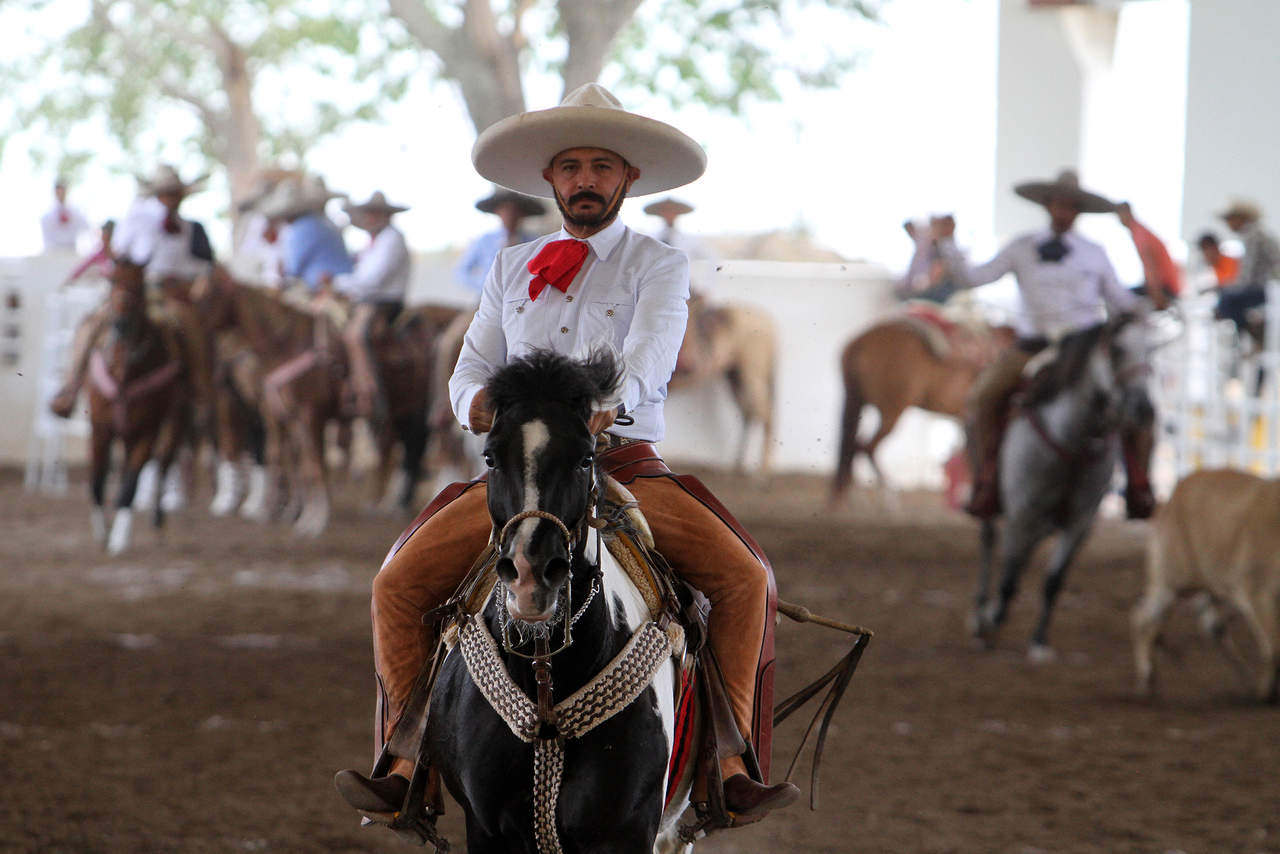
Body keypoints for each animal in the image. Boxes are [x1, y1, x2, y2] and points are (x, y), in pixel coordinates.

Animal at [86, 261, 190, 555]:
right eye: (111, 281)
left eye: (140, 285)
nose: (121, 323)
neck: (124, 371)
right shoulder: (100, 429)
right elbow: (97, 479)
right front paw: (101, 531)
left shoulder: (148, 431)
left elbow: (130, 484)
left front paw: (119, 538)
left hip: (175, 424)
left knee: (164, 466)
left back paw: (157, 520)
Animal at [424, 350, 696, 850]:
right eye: (490, 456)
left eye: (586, 457)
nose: (531, 574)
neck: (547, 684)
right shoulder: (485, 827)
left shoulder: (628, 830)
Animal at [670, 297, 778, 473]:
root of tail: (768, 323)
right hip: (736, 378)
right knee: (749, 413)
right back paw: (738, 464)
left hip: (751, 377)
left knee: (764, 414)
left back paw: (762, 470)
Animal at [834, 311, 1013, 504]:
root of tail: (860, 341)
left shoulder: (965, 421)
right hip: (891, 412)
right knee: (865, 448)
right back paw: (889, 498)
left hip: (858, 403)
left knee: (853, 448)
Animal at [972, 317, 1157, 665]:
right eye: (1115, 348)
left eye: (1151, 349)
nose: (1143, 407)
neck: (1073, 441)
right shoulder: (1021, 514)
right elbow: (1009, 578)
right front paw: (991, 621)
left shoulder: (1079, 522)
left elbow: (1053, 581)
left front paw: (1039, 641)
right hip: (991, 502)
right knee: (989, 545)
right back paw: (979, 614)